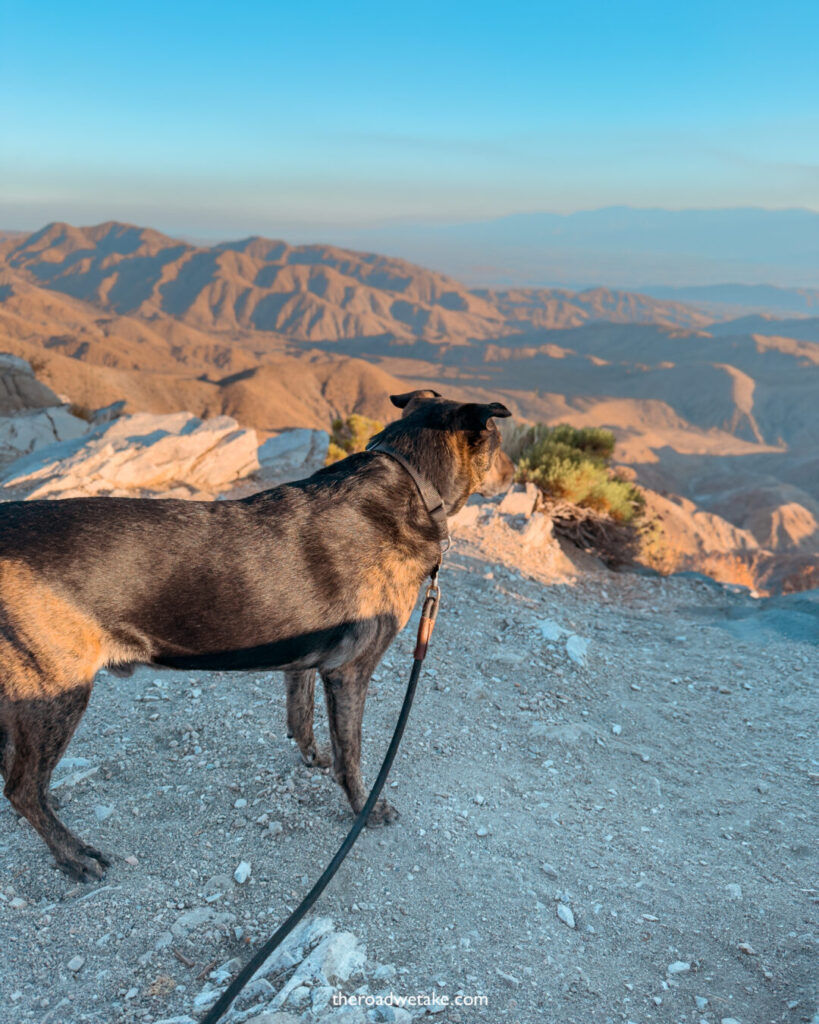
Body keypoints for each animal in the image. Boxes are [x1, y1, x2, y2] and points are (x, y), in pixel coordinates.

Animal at [0, 391, 511, 880]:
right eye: (500, 443)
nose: (513, 479)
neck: (411, 481)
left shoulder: (307, 660)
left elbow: (301, 715)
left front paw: (313, 757)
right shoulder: (350, 672)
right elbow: (352, 755)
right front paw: (366, 808)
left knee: (17, 773)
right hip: (56, 691)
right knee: (21, 788)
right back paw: (73, 855)